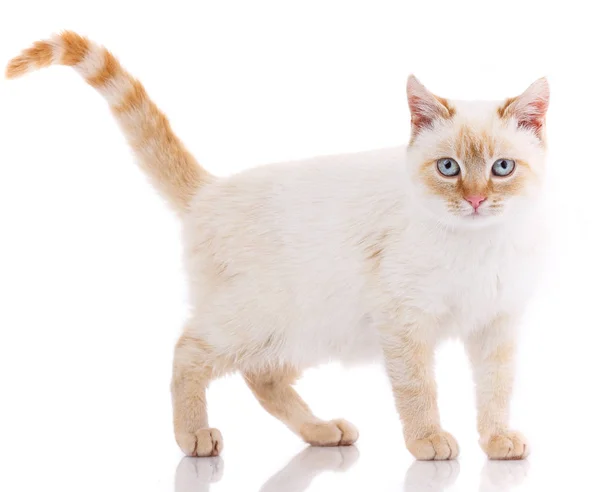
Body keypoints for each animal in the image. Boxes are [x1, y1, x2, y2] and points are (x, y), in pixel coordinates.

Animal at [7, 30, 548, 462]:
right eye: (448, 168)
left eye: (502, 168)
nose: (475, 200)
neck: (477, 245)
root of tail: (210, 190)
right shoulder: (404, 322)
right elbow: (418, 388)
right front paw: (428, 440)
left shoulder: (497, 325)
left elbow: (496, 388)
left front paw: (497, 440)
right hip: (259, 316)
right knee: (188, 350)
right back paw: (194, 435)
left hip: (307, 330)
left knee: (261, 377)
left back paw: (322, 431)